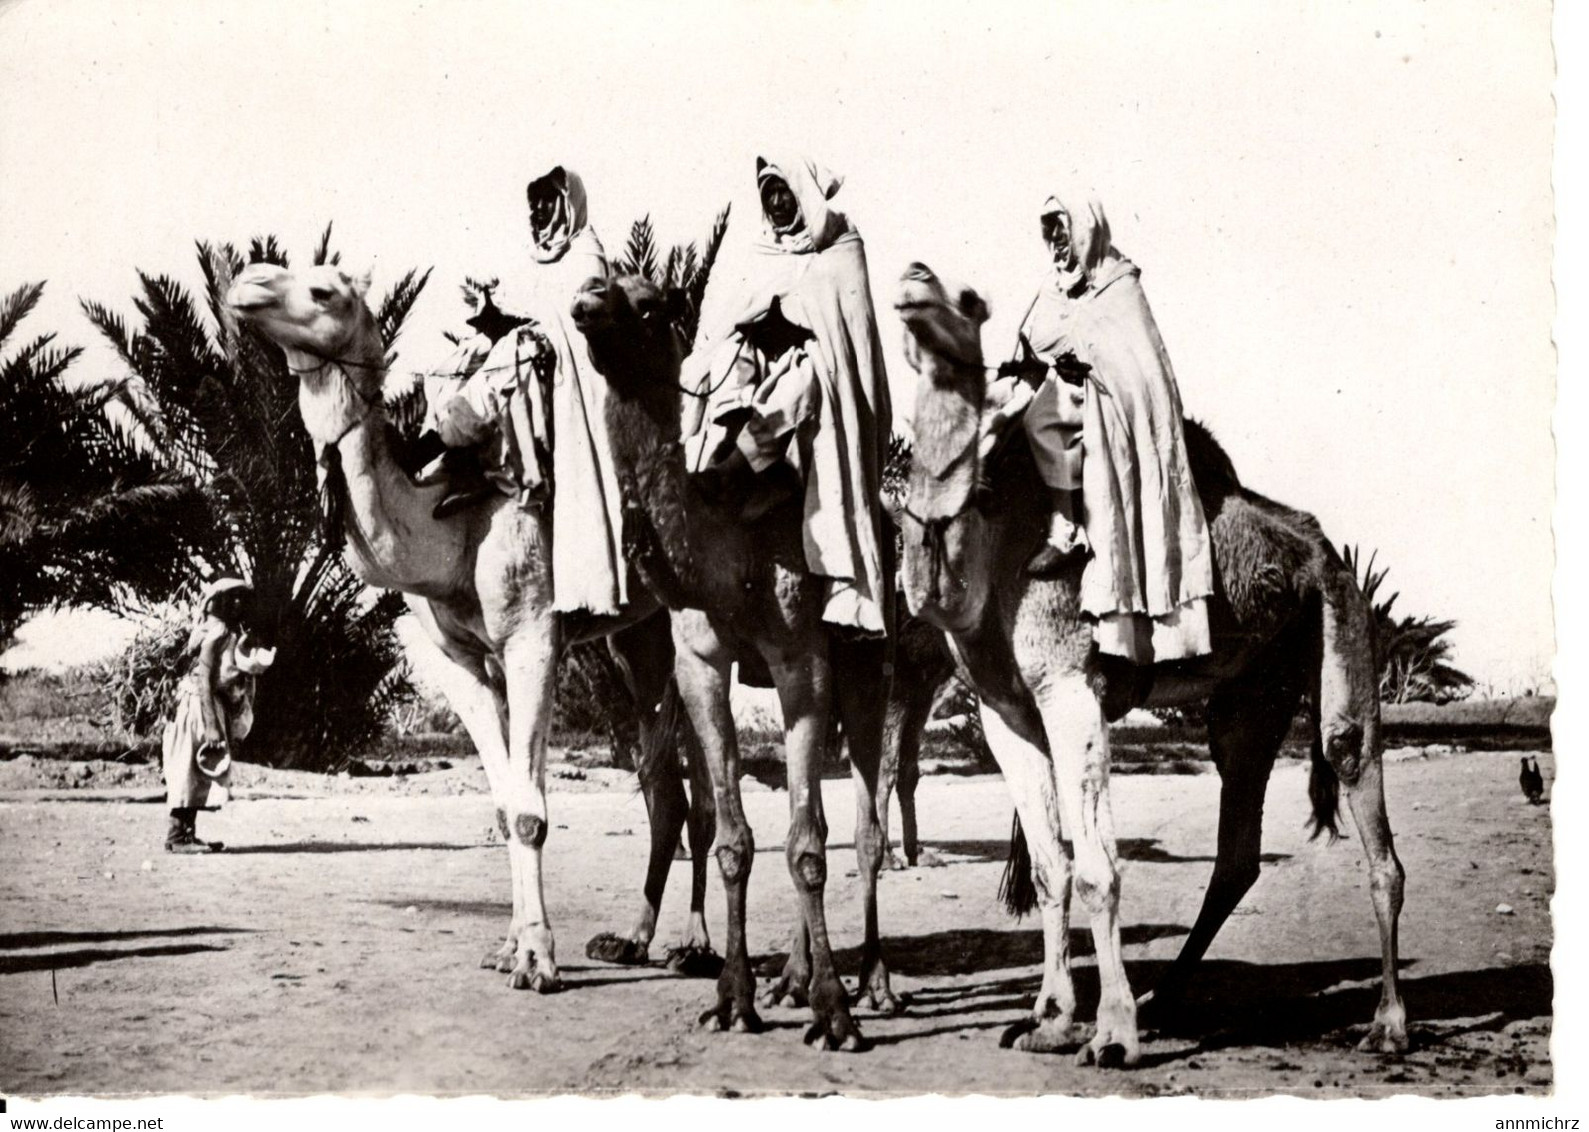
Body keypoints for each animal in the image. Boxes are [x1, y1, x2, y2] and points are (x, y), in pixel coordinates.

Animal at [225, 262, 721, 992]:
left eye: (324, 291)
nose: (247, 283)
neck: (451, 526)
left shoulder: (532, 636)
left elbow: (529, 812)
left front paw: (539, 959)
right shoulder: (462, 661)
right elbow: (504, 803)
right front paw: (508, 948)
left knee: (702, 788)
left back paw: (696, 947)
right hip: (636, 637)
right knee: (663, 788)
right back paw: (631, 940)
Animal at [896, 260, 1404, 1068]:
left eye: (965, 301)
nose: (913, 278)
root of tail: (1322, 548)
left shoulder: (1069, 688)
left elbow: (1098, 868)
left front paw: (1110, 1035)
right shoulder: (1004, 710)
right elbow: (1051, 867)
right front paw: (1048, 1021)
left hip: (1343, 620)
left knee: (1354, 775)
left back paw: (1386, 1024)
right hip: (1250, 697)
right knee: (1237, 843)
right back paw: (1167, 998)